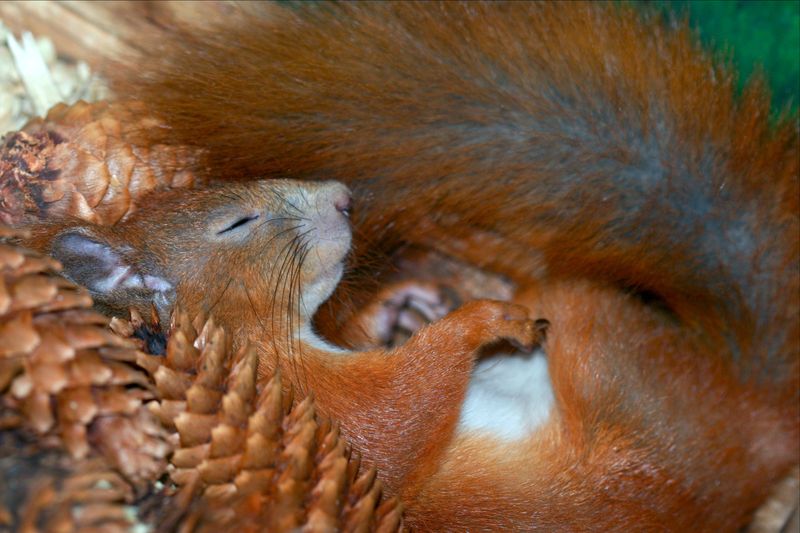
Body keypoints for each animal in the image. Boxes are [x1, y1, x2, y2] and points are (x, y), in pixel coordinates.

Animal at [36, 2, 800, 528]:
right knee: (564, 296)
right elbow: (399, 416)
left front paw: (404, 310)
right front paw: (477, 321)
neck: (236, 345)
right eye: (237, 222)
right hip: (598, 339)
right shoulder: (326, 416)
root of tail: (748, 422)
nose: (343, 197)